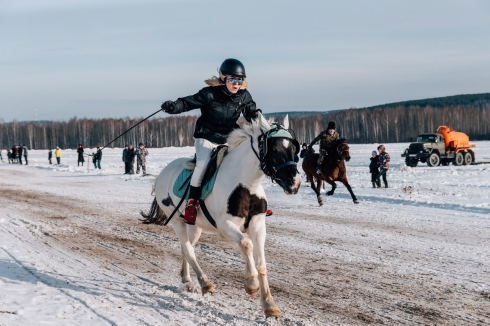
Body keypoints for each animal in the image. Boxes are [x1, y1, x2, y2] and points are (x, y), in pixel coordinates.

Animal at [141, 113, 302, 318]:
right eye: (273, 148)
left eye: (294, 148)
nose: (295, 183)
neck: (246, 185)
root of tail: (162, 174)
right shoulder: (226, 226)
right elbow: (246, 244)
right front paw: (251, 284)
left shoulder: (258, 227)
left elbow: (261, 264)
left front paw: (269, 305)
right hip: (177, 221)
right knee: (188, 249)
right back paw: (204, 283)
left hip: (194, 226)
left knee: (187, 248)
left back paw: (187, 280)